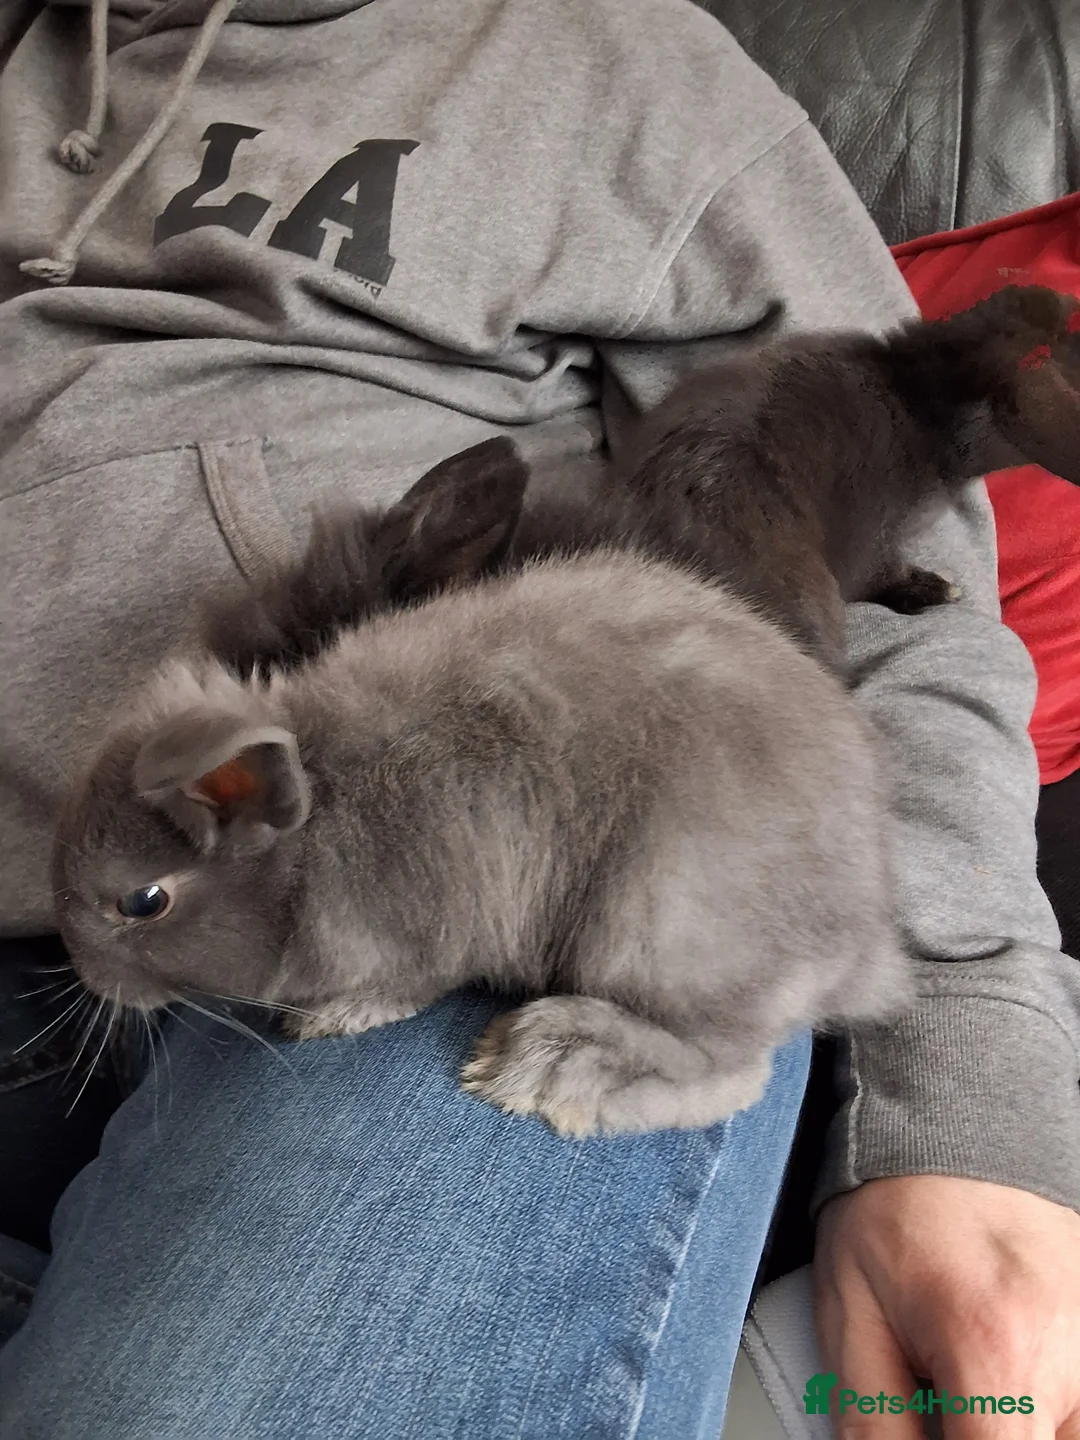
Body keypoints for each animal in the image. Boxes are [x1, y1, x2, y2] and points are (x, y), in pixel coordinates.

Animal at [52, 446, 910, 1138]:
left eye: (141, 903)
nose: (85, 976)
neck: (316, 819)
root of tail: (862, 946)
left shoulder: (427, 928)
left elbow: (411, 982)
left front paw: (334, 1018)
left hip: (658, 920)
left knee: (727, 1068)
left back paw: (545, 1065)